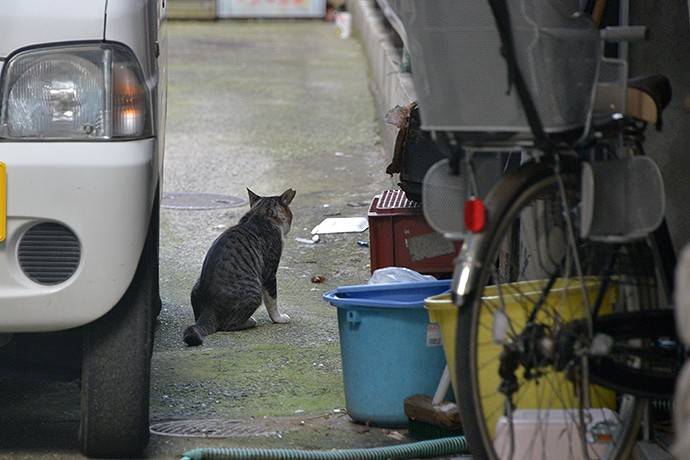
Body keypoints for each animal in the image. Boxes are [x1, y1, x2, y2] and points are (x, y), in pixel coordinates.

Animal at [181, 187, 294, 344]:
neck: (261, 214)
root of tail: (208, 308)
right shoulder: (270, 273)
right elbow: (272, 301)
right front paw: (279, 318)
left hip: (196, 285)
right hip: (255, 291)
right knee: (227, 325)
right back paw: (250, 321)